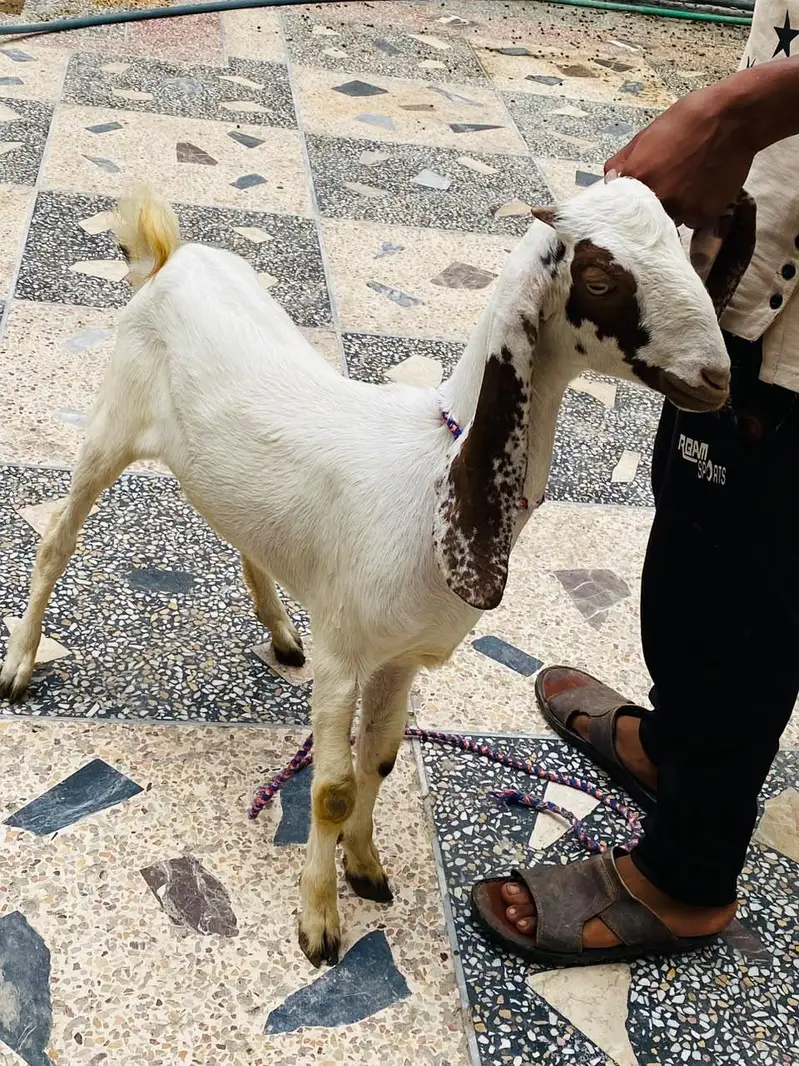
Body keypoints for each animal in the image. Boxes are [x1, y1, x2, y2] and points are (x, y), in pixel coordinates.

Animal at [0, 180, 753, 967]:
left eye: (684, 248)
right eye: (601, 279)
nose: (716, 379)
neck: (433, 469)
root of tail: (168, 258)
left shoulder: (399, 660)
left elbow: (382, 760)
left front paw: (363, 865)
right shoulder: (344, 656)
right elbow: (331, 787)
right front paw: (319, 922)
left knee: (240, 534)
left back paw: (279, 632)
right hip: (109, 427)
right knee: (54, 542)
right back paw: (20, 663)